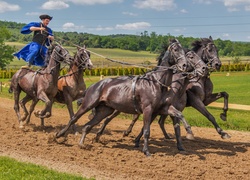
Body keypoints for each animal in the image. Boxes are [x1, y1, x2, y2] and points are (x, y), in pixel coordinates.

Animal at [54, 39, 188, 156]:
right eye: (175, 49)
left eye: (184, 50)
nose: (184, 65)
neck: (156, 82)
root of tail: (94, 85)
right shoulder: (148, 109)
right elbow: (146, 131)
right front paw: (146, 151)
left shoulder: (162, 108)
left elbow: (179, 114)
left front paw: (188, 131)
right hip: (88, 104)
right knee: (74, 118)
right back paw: (59, 135)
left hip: (104, 110)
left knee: (87, 126)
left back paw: (81, 143)